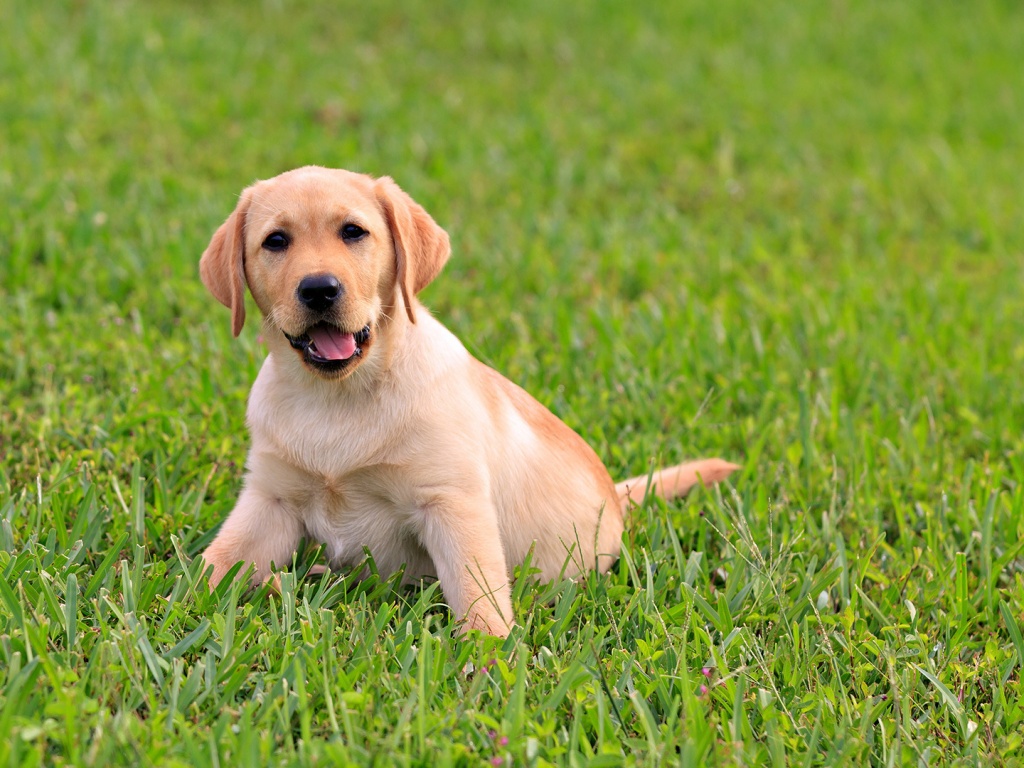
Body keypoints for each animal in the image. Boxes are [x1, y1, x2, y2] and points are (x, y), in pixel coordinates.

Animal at [197, 166, 737, 638]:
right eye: (275, 241)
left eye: (353, 232)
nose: (319, 289)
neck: (337, 397)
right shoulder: (270, 499)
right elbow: (209, 567)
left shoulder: (452, 502)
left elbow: (477, 591)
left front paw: (489, 656)